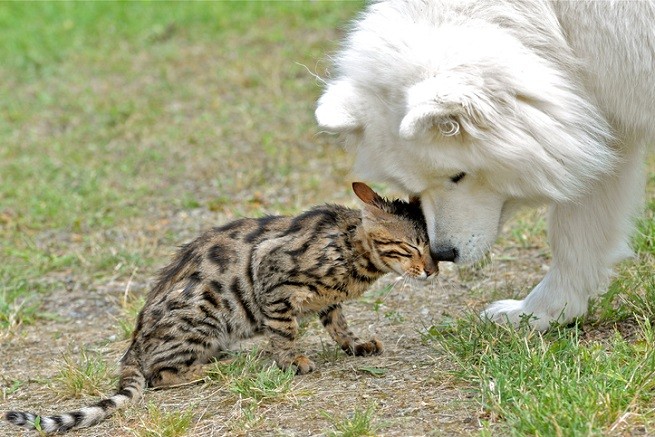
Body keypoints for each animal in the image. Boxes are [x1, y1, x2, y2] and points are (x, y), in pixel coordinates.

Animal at [5, 181, 438, 432]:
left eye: (433, 247)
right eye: (411, 247)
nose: (433, 270)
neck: (350, 250)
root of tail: (133, 344)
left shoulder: (328, 302)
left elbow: (338, 324)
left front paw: (355, 345)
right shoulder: (271, 274)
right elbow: (284, 331)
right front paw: (293, 361)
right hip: (204, 313)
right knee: (160, 375)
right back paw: (219, 367)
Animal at [316, 0, 652, 328]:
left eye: (458, 175)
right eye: (414, 189)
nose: (443, 254)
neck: (554, 23)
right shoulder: (602, 130)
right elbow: (575, 234)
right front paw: (539, 315)